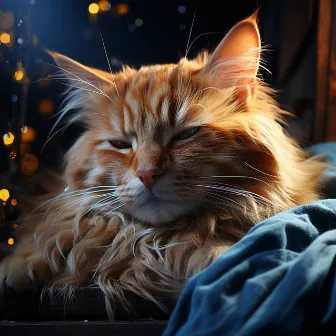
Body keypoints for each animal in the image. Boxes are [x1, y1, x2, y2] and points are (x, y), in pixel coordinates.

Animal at [0, 13, 326, 318]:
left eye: (186, 135)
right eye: (120, 144)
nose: (147, 174)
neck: (154, 243)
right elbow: (59, 228)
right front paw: (21, 262)